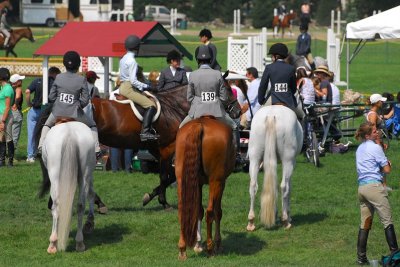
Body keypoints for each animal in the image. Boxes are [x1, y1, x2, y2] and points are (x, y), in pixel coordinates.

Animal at [40, 121, 97, 253]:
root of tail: (70, 133)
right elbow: (91, 193)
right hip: (85, 173)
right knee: (81, 205)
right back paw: (79, 243)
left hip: (55, 174)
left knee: (57, 206)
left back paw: (53, 244)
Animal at [175, 116, 234, 260]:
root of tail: (200, 125)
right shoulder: (221, 182)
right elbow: (218, 212)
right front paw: (217, 243)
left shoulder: (198, 184)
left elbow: (198, 210)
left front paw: (197, 244)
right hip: (216, 181)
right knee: (210, 211)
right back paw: (210, 248)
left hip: (181, 181)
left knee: (182, 210)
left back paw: (182, 249)